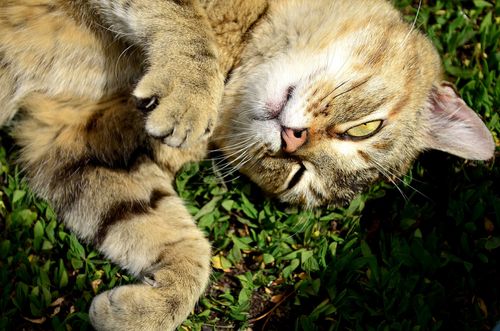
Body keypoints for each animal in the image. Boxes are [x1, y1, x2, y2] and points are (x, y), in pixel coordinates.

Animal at [0, 0, 492, 331]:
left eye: (296, 177)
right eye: (365, 128)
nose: (291, 142)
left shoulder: (75, 141)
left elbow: (178, 241)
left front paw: (149, 309)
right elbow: (187, 23)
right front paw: (191, 90)